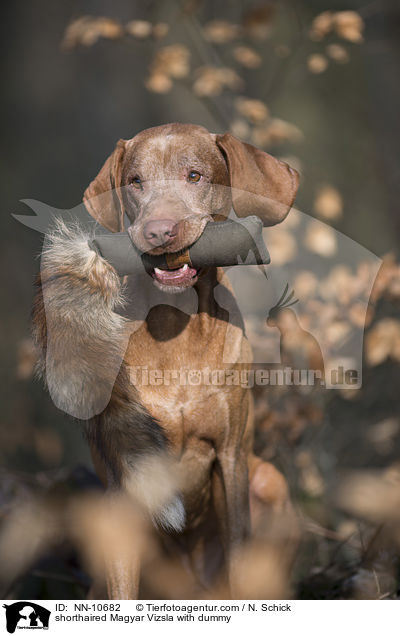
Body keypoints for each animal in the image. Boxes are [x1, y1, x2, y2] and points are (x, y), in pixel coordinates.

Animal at [32, 121, 298, 600]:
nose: (158, 231)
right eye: (135, 181)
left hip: (269, 479)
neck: (176, 329)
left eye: (194, 175)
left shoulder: (231, 460)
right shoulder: (124, 475)